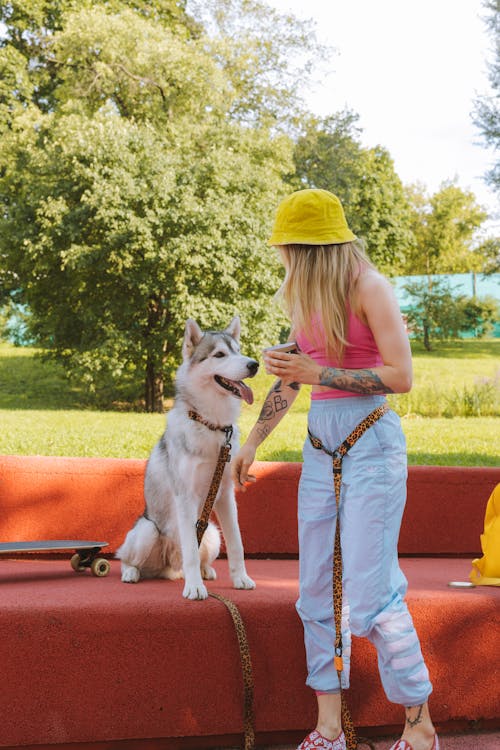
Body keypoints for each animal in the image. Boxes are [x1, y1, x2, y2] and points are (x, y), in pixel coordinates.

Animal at [116, 316, 258, 600]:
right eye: (219, 354)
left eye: (239, 350)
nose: (254, 364)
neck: (212, 426)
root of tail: (171, 568)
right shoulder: (186, 496)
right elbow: (191, 551)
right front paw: (194, 587)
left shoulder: (225, 495)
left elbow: (237, 543)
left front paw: (241, 578)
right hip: (147, 531)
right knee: (128, 559)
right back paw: (132, 573)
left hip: (212, 533)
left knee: (202, 555)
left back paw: (206, 571)